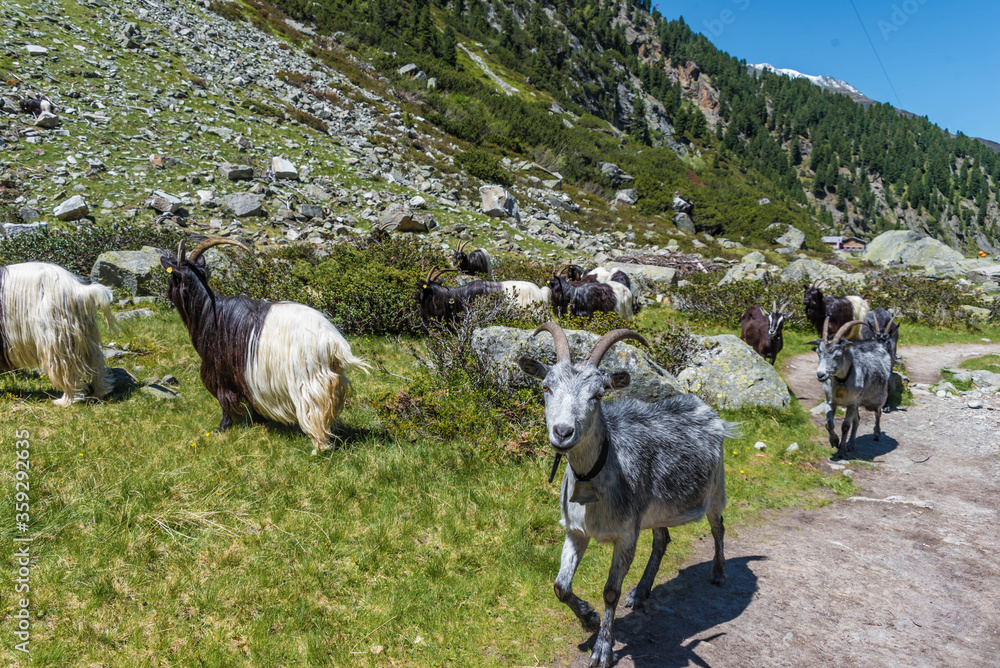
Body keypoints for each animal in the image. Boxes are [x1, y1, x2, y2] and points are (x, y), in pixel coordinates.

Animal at [0, 264, 115, 404]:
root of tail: (78, 289)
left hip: (56, 335)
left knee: (66, 369)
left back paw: (66, 400)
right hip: (84, 333)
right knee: (96, 359)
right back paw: (99, 392)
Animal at [162, 237, 370, 452]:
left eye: (171, 278)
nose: (167, 292)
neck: (209, 313)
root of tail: (333, 342)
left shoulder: (221, 372)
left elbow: (224, 402)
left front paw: (221, 429)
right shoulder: (246, 377)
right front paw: (259, 422)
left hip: (310, 380)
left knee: (315, 413)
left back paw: (319, 447)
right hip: (333, 380)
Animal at [520, 324, 732, 668]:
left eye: (598, 395)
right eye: (546, 387)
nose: (563, 432)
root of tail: (705, 407)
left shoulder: (626, 534)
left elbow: (610, 591)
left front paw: (603, 649)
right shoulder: (576, 530)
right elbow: (560, 586)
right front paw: (589, 619)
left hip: (716, 487)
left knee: (718, 526)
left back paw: (719, 573)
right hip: (656, 509)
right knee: (662, 540)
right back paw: (640, 592)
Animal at [812, 316, 892, 456]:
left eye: (838, 355)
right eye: (818, 353)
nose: (820, 374)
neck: (842, 381)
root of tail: (880, 346)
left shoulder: (852, 404)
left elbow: (845, 426)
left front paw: (841, 451)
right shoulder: (831, 402)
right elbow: (829, 424)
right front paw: (835, 441)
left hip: (878, 398)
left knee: (878, 413)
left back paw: (877, 434)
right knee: (857, 420)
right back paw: (851, 444)